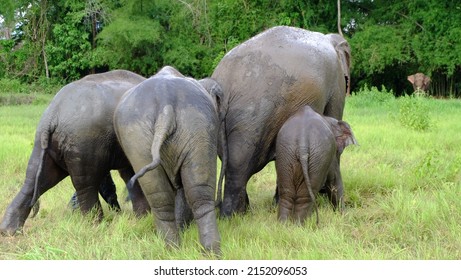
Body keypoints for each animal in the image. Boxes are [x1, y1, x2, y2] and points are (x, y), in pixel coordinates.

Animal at [0, 70, 150, 236]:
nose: (118, 211)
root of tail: (52, 114)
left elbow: (130, 173)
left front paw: (143, 218)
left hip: (47, 143)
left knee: (36, 179)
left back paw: (9, 231)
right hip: (83, 141)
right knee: (86, 183)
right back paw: (95, 226)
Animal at [114, 65, 224, 256]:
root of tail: (166, 107)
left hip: (142, 137)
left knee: (165, 197)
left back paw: (178, 251)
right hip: (193, 126)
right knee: (195, 194)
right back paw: (202, 252)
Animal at [211, 25, 348, 217]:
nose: (321, 192)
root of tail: (226, 83)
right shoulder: (336, 83)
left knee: (233, 163)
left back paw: (239, 214)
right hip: (253, 117)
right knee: (239, 167)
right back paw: (233, 217)